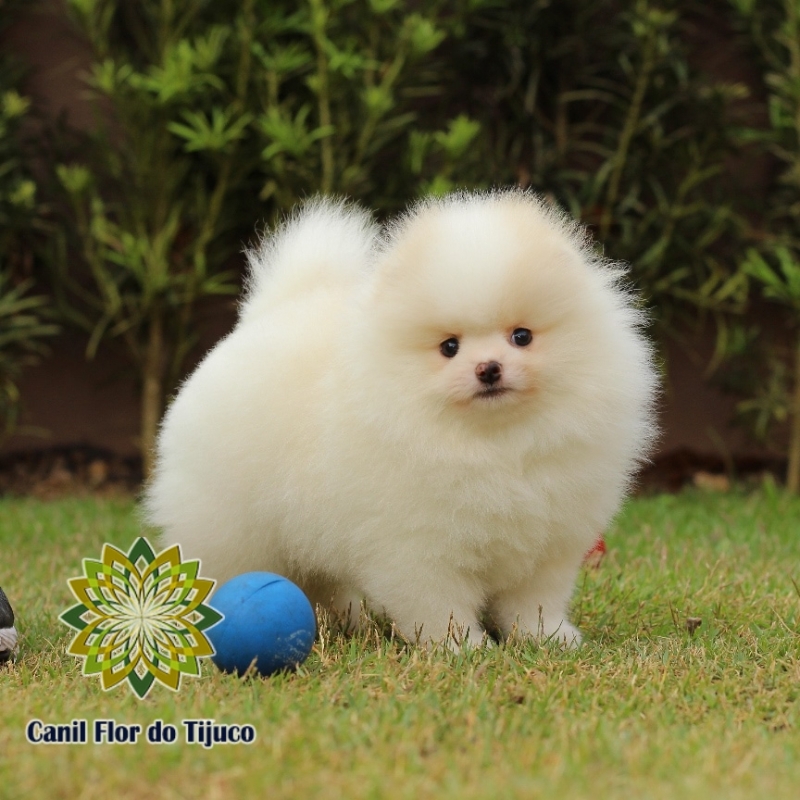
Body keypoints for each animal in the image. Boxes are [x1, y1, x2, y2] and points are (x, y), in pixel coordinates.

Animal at [144, 191, 656, 648]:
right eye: (449, 347)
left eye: (522, 336)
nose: (488, 368)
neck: (494, 444)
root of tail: (263, 317)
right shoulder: (417, 546)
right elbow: (436, 602)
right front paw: (459, 647)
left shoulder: (547, 545)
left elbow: (533, 601)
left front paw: (547, 638)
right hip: (230, 525)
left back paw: (352, 623)